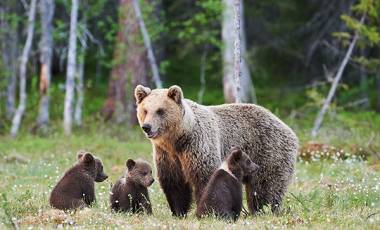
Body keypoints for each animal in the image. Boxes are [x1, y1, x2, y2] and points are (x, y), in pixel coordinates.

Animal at [135, 84, 298, 216]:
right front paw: (178, 212)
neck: (178, 139)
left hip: (267, 151)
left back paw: (263, 210)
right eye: (145, 110)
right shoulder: (167, 155)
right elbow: (174, 184)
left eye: (160, 111)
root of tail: (287, 127)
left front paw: (207, 210)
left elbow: (205, 178)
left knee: (265, 186)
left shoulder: (198, 145)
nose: (147, 127)